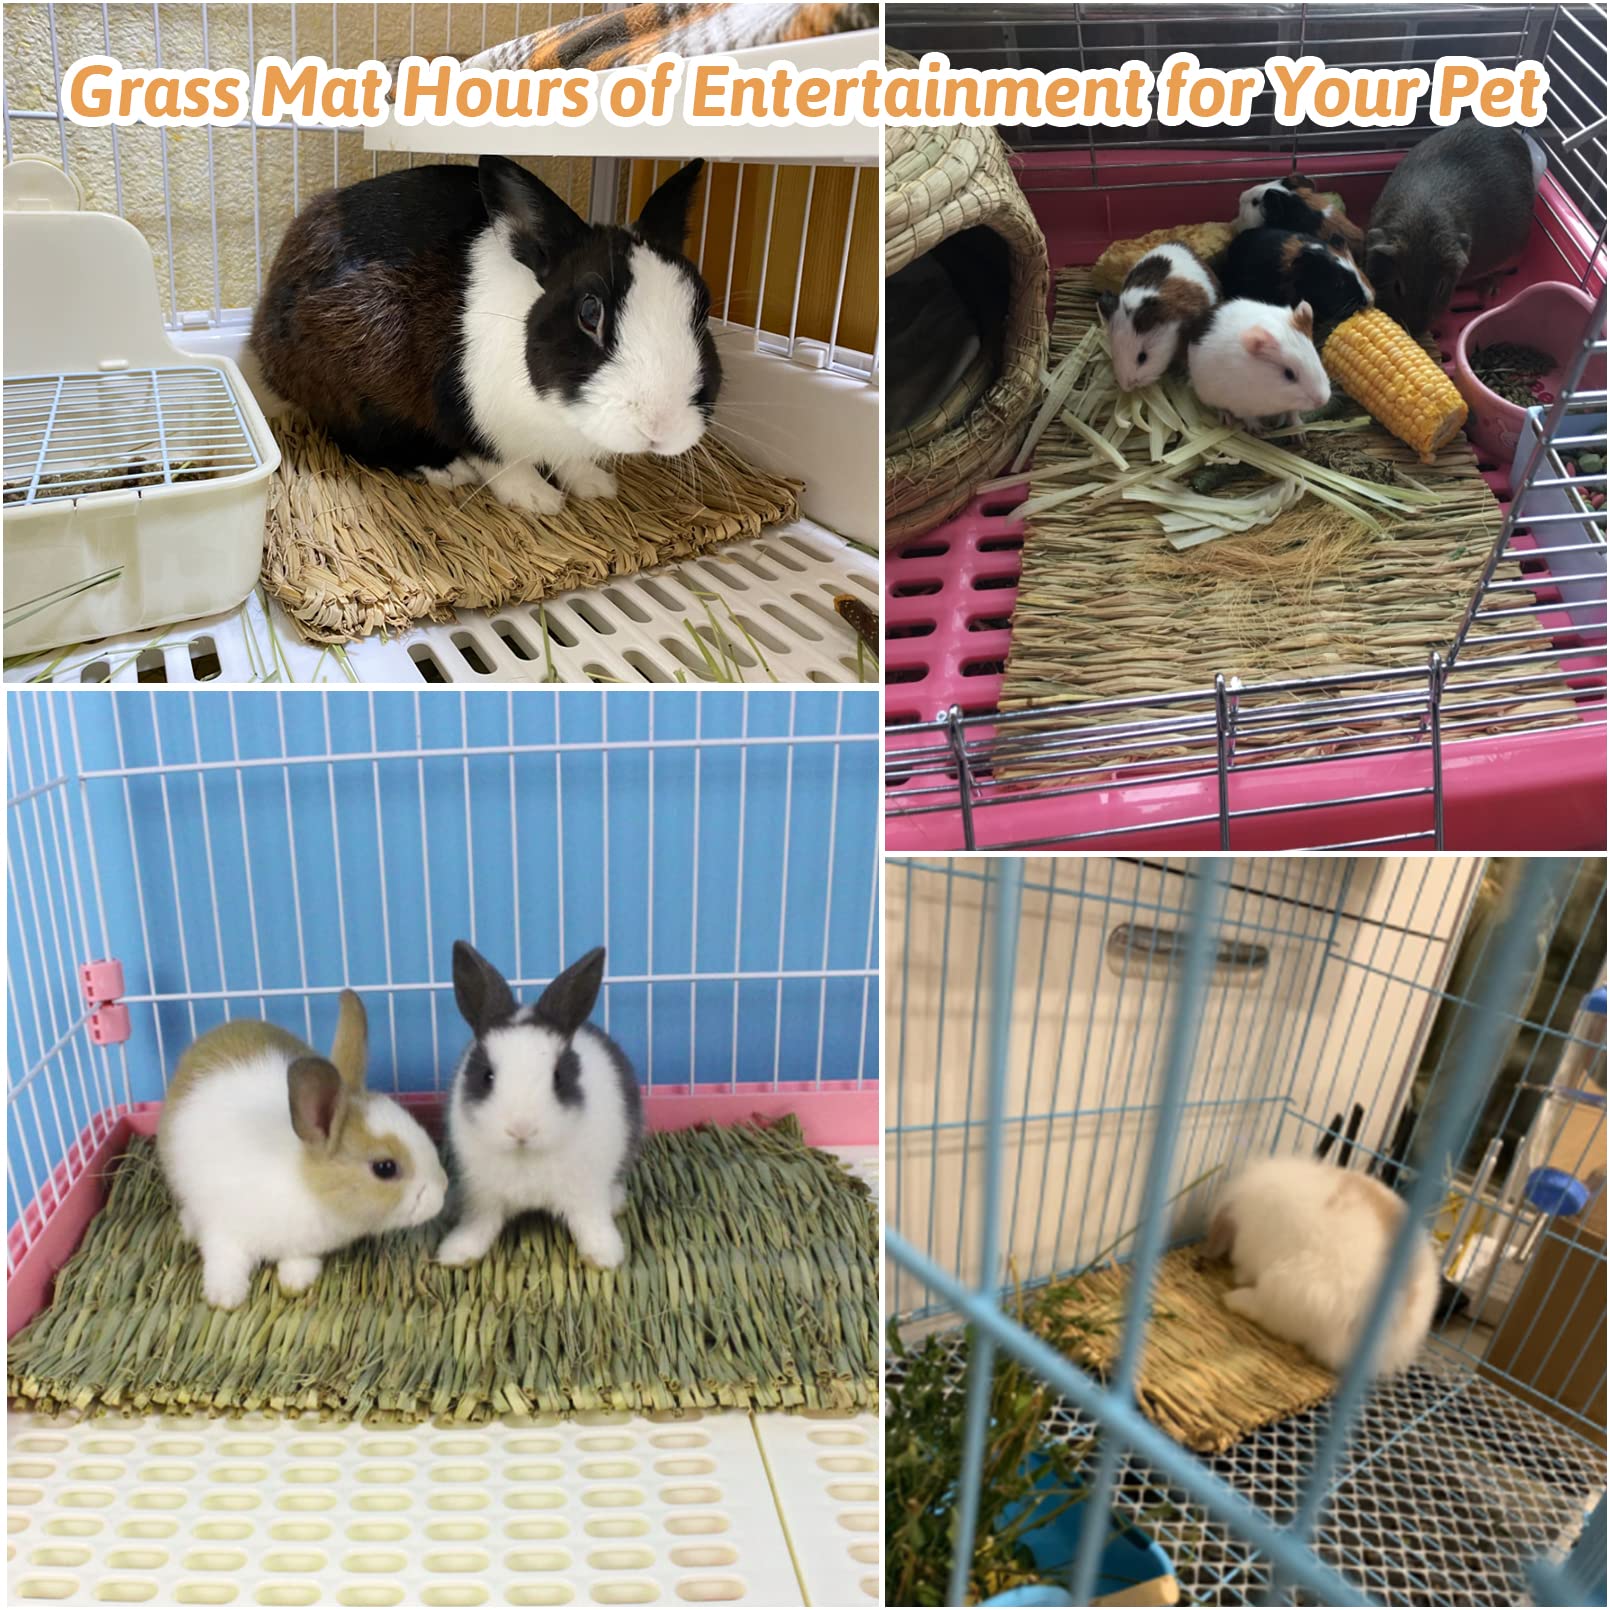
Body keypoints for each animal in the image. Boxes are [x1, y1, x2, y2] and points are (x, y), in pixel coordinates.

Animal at [156, 991, 449, 1310]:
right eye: (385, 1168)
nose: (443, 1190)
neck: (306, 1184)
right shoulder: (224, 1232)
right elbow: (225, 1261)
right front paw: (225, 1297)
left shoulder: (302, 1244)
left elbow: (298, 1259)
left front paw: (296, 1280)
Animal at [250, 156, 722, 515]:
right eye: (590, 312)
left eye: (702, 308)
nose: (661, 426)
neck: (555, 415)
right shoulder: (463, 410)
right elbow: (500, 462)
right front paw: (537, 498)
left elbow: (571, 461)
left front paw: (595, 484)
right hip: (352, 384)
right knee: (358, 440)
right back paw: (444, 469)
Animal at [438, 940, 644, 1271]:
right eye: (487, 1076)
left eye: (558, 1077)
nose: (521, 1128)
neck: (527, 1156)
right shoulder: (483, 1194)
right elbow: (478, 1224)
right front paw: (457, 1253)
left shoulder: (587, 1190)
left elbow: (591, 1222)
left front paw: (603, 1257)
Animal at [1186, 298, 1331, 435]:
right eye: (1289, 374)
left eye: (1316, 357)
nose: (1322, 401)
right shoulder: (1240, 405)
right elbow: (1249, 418)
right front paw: (1260, 431)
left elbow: (1293, 414)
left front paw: (1300, 434)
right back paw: (1227, 420)